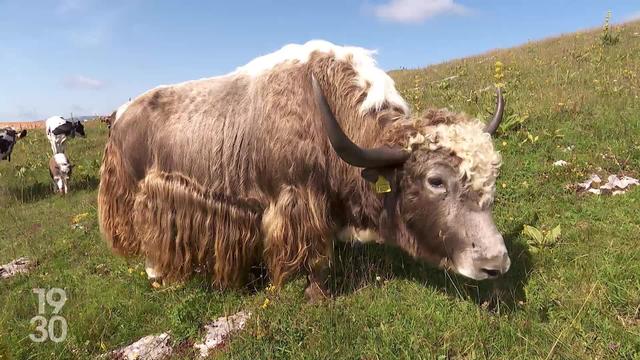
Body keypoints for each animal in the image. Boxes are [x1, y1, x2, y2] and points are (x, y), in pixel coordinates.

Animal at [99, 40, 510, 302]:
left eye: (492, 177)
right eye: (435, 181)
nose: (495, 264)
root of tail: (120, 116)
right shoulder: (298, 200)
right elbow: (313, 255)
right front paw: (316, 296)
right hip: (141, 193)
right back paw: (159, 277)